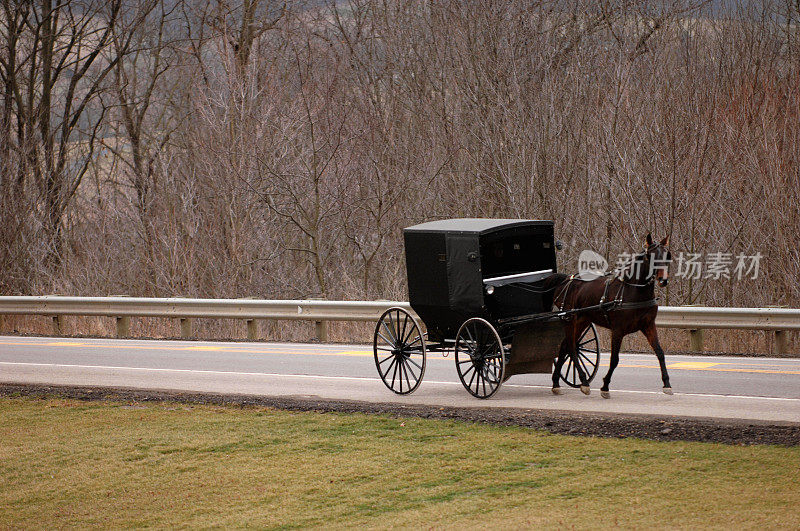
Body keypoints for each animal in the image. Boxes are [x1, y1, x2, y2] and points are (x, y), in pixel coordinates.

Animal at [548, 234, 672, 400]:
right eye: (650, 256)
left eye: (667, 255)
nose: (663, 280)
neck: (633, 291)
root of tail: (566, 280)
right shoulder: (618, 330)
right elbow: (614, 360)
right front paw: (605, 386)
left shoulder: (649, 325)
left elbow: (660, 353)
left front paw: (667, 384)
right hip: (569, 320)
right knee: (572, 348)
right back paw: (584, 382)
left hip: (582, 321)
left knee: (564, 347)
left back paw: (556, 383)